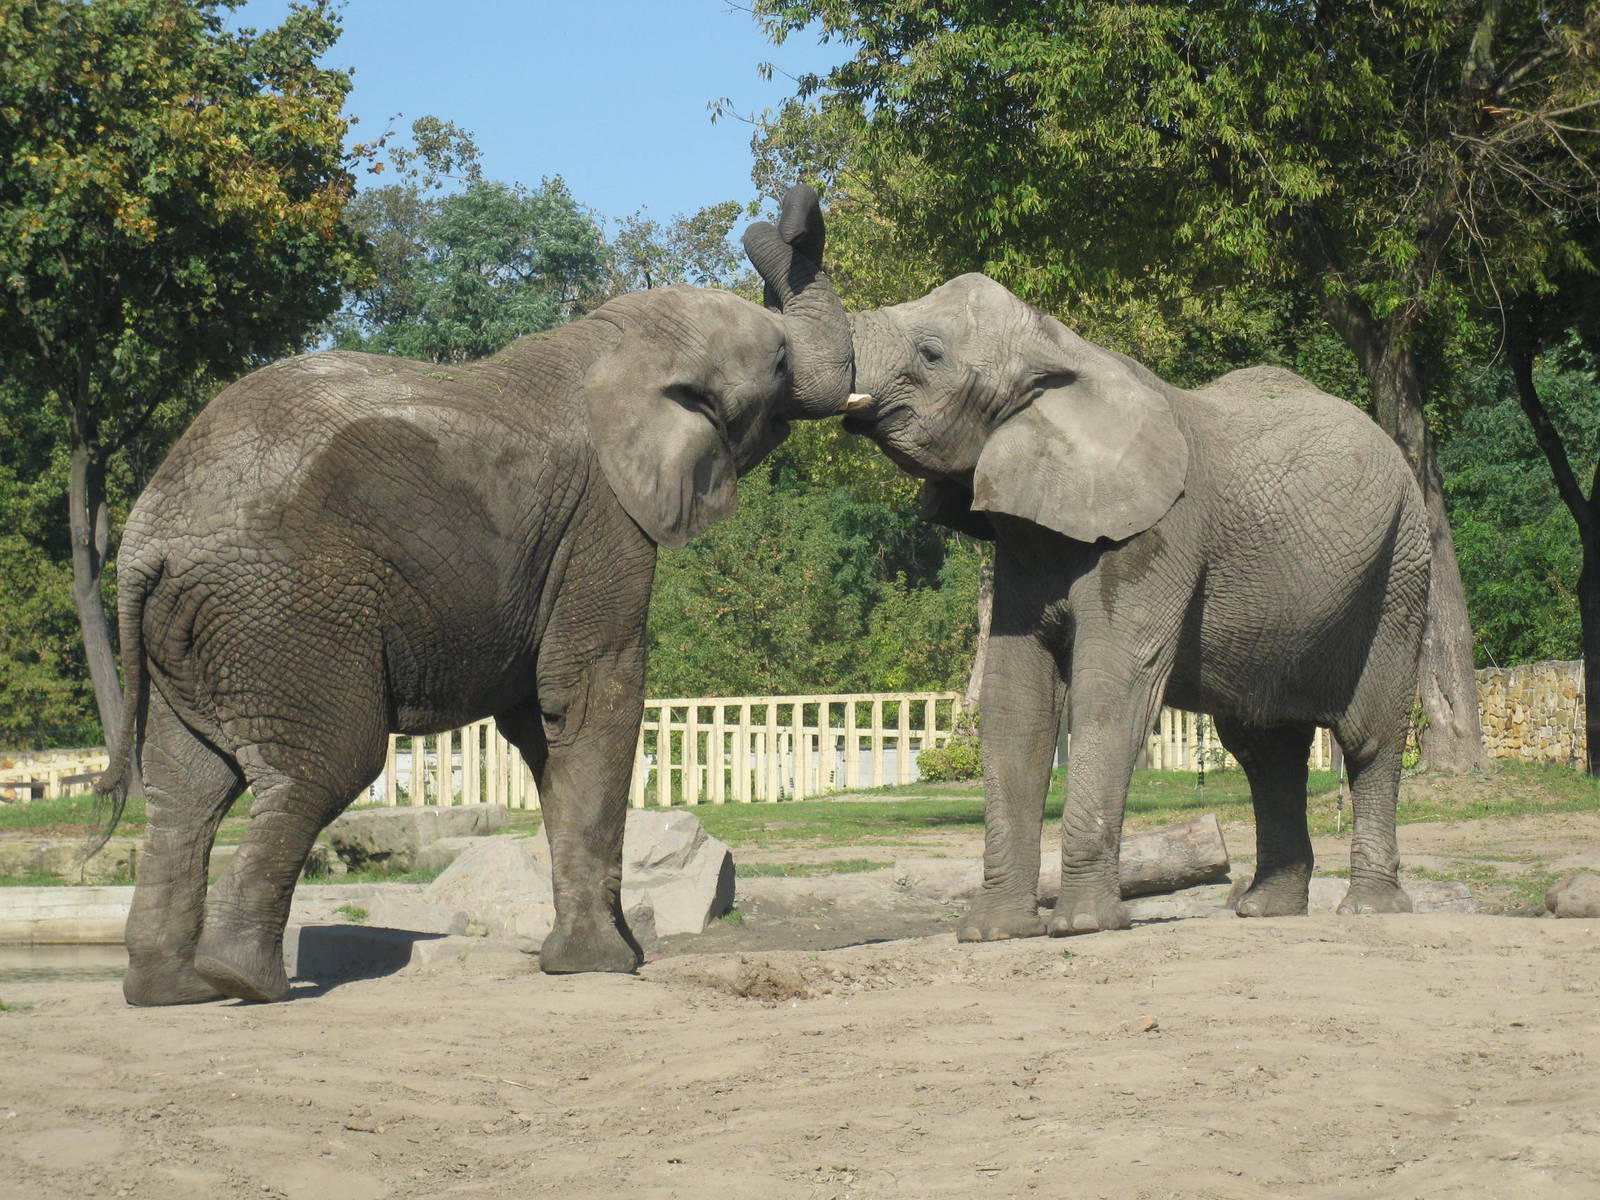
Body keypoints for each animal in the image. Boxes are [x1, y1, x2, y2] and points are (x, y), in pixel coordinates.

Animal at [96, 186, 853, 1005]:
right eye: (779, 363)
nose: (793, 205)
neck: (608, 339)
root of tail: (146, 542)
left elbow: (542, 724)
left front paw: (608, 956)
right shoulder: (601, 520)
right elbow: (588, 697)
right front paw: (600, 966)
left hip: (196, 629)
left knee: (185, 789)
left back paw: (173, 991)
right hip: (285, 609)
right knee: (323, 766)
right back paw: (245, 981)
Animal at [840, 273, 1429, 941]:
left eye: (931, 353)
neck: (1060, 346)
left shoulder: (1156, 533)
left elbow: (1112, 690)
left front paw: (1081, 927)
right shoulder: (1025, 543)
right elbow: (1015, 702)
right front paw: (992, 933)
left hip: (1400, 568)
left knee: (1367, 738)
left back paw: (1369, 908)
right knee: (1264, 749)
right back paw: (1265, 910)